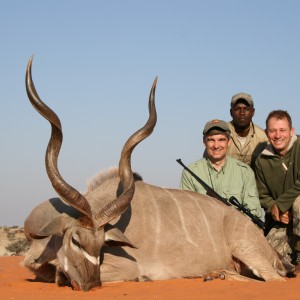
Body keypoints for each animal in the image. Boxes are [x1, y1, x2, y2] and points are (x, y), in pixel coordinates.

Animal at [25, 57, 292, 292]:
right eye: (76, 240)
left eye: (101, 244)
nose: (91, 285)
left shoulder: (125, 267)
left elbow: (62, 275)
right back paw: (214, 274)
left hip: (248, 251)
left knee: (274, 280)